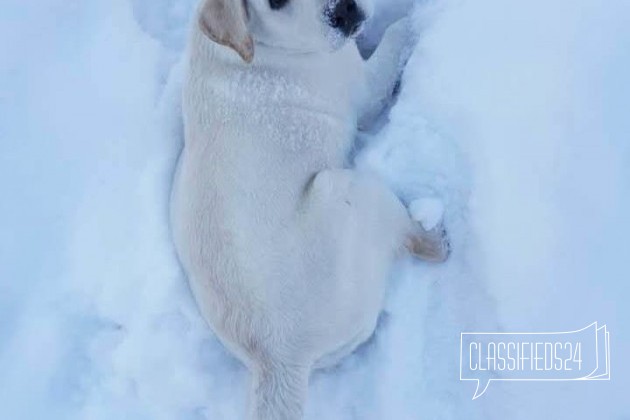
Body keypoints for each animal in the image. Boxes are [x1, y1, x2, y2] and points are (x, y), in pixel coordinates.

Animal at [170, 0, 452, 418]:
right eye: (275, 4)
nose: (344, 13)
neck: (260, 46)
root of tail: (278, 361)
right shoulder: (363, 84)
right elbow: (397, 33)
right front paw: (419, 18)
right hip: (347, 189)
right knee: (417, 241)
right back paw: (436, 234)